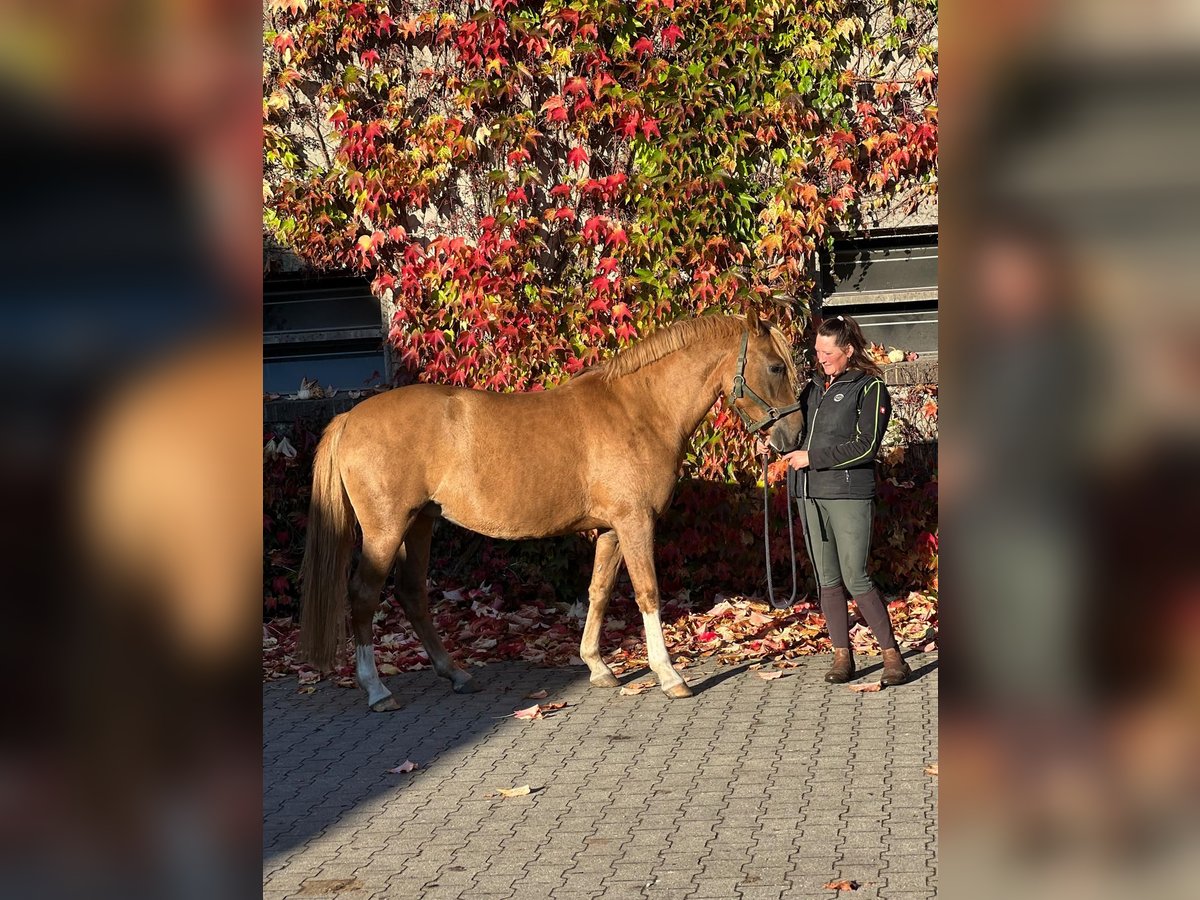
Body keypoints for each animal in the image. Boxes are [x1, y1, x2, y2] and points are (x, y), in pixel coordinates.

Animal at [300, 314, 806, 715]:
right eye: (776, 366)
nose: (795, 437)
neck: (640, 410)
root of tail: (349, 418)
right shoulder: (635, 523)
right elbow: (648, 594)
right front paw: (670, 677)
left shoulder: (611, 530)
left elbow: (599, 592)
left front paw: (598, 667)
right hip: (385, 531)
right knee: (364, 596)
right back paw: (377, 690)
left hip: (420, 523)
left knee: (411, 594)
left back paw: (456, 674)